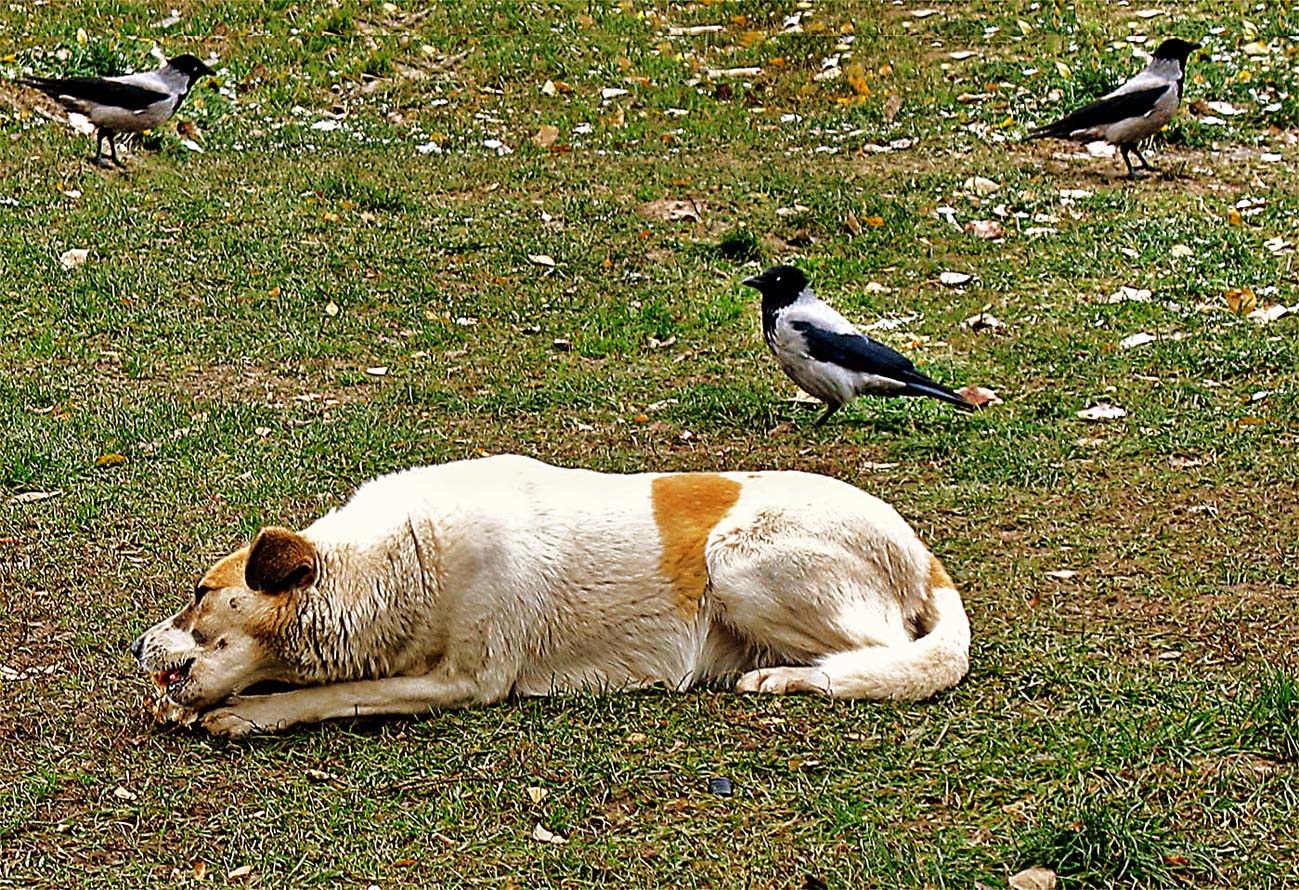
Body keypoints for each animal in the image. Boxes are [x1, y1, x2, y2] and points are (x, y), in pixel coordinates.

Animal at [131, 452, 971, 737]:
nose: (134, 645)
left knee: (880, 659)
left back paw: (784, 678)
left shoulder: (465, 681)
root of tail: (923, 557)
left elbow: (338, 694)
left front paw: (249, 714)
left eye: (199, 592)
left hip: (738, 560)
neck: (400, 557)